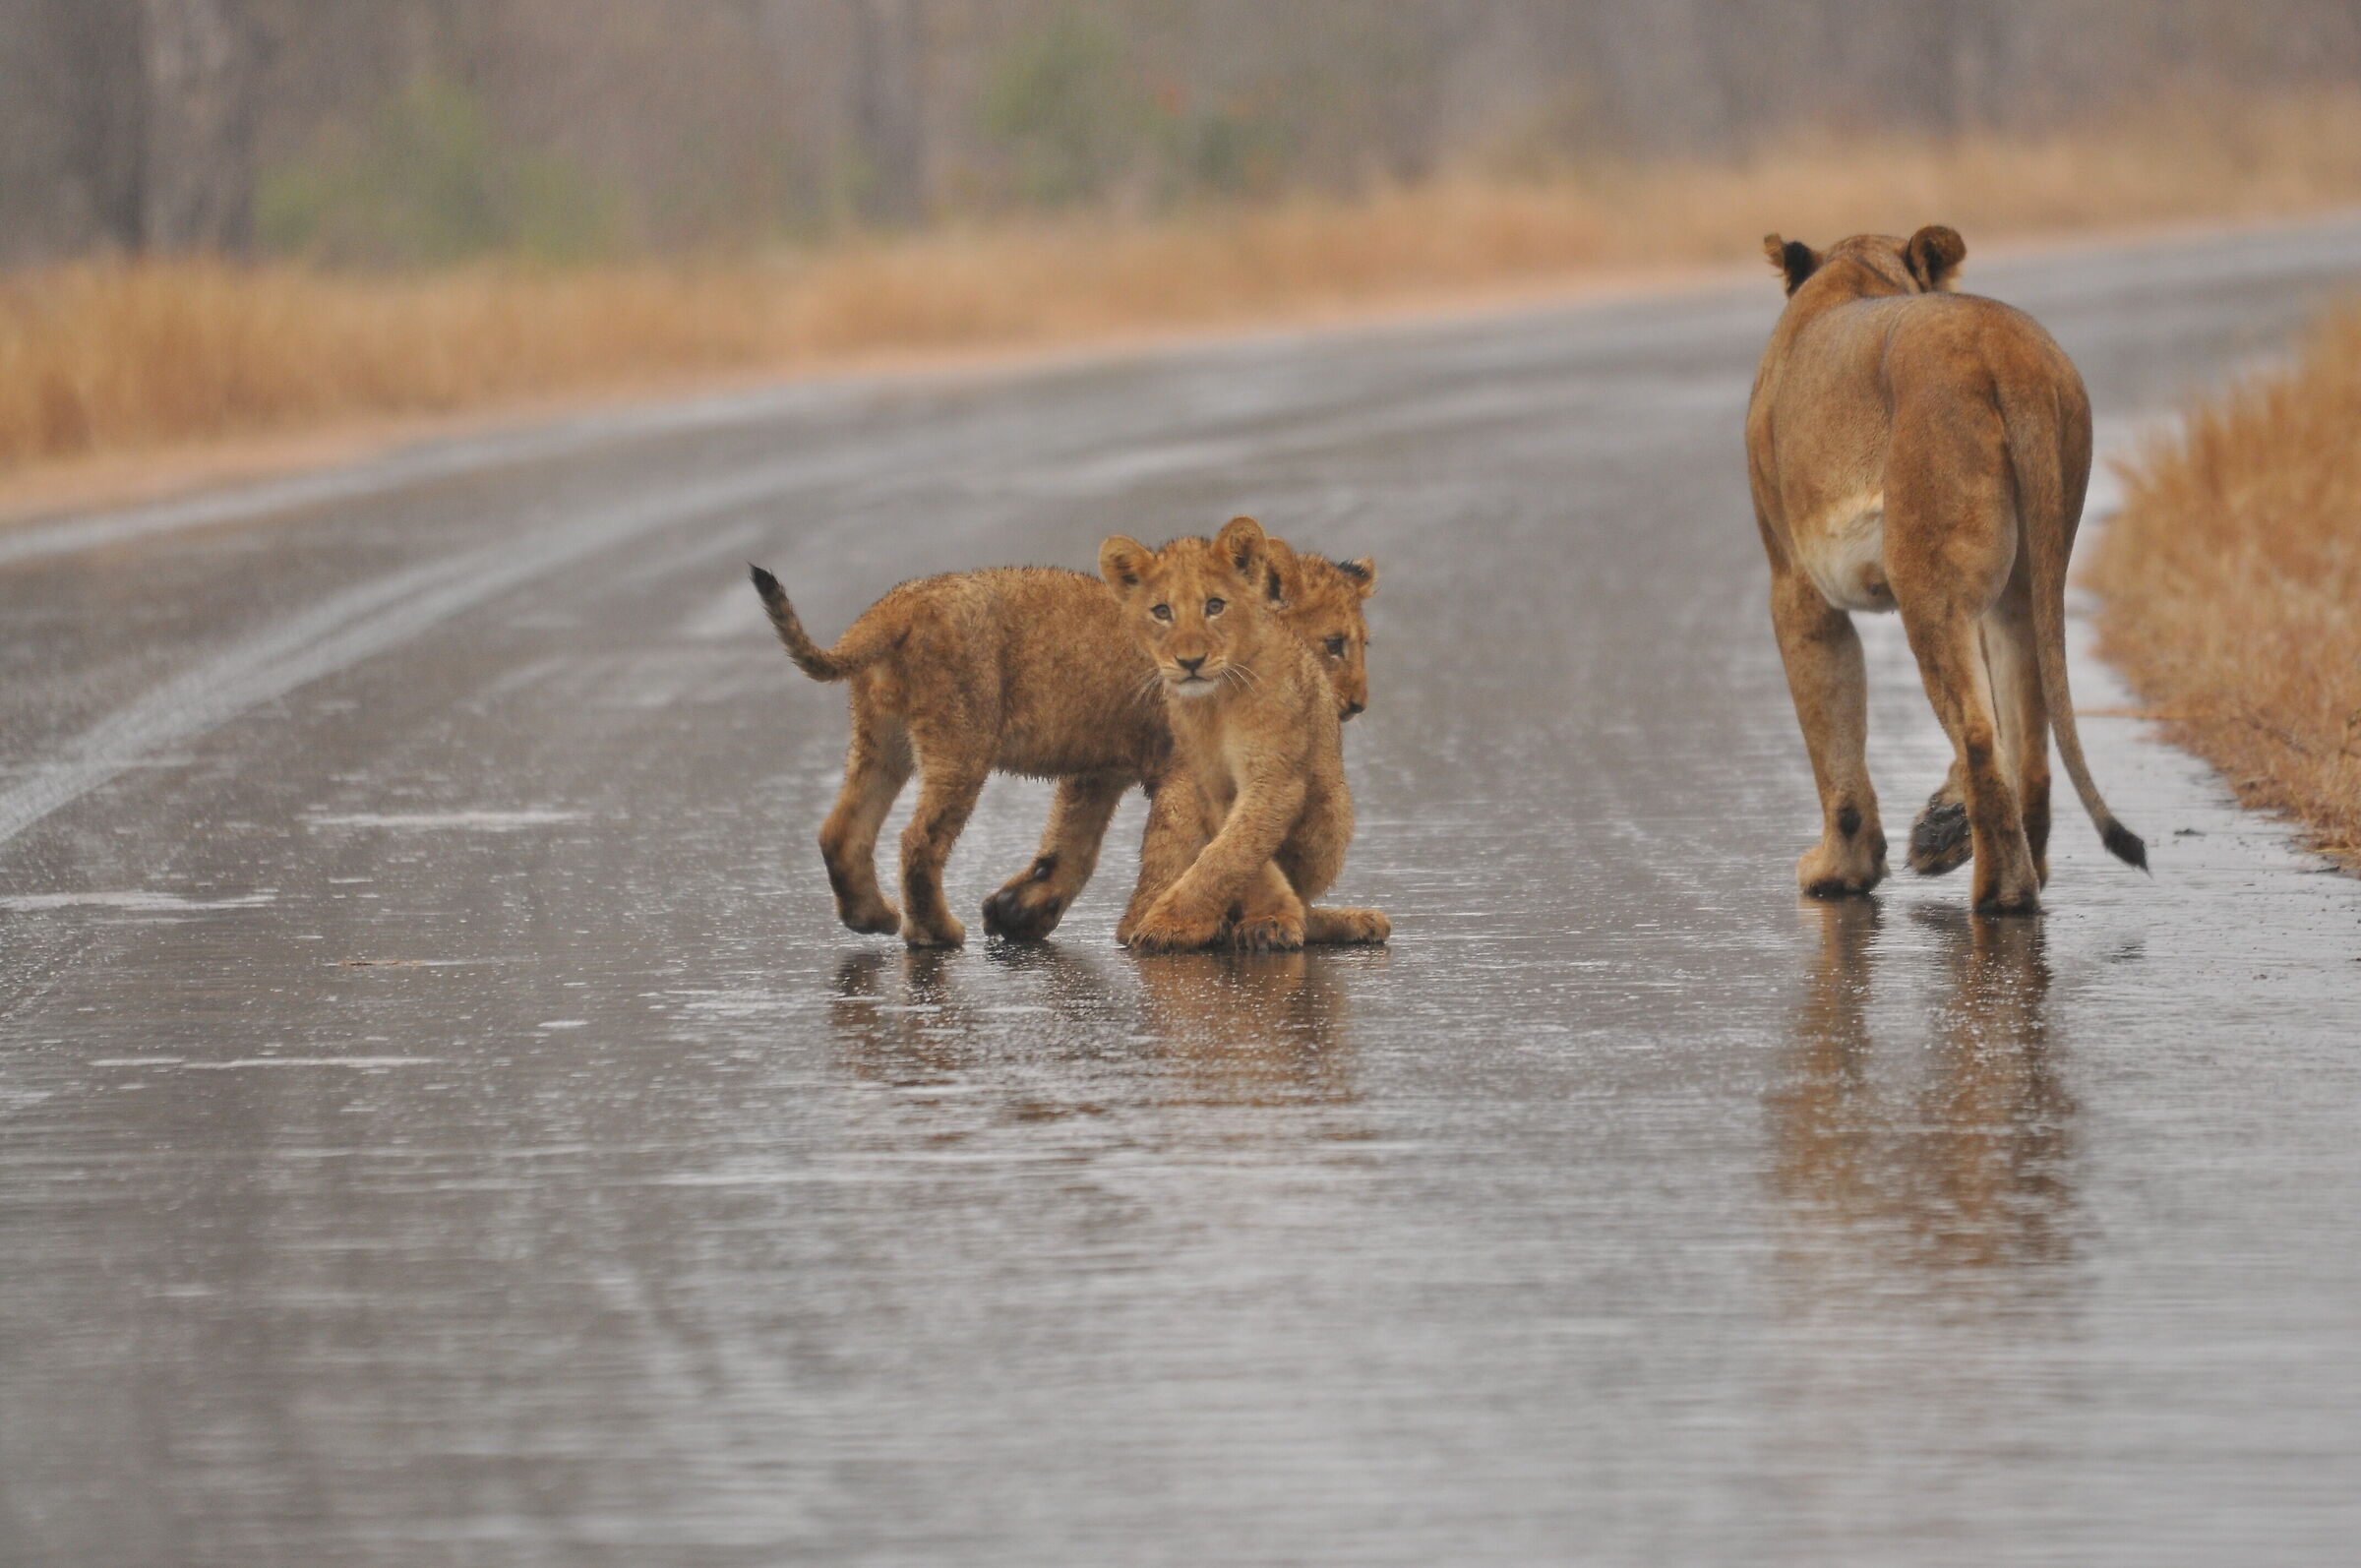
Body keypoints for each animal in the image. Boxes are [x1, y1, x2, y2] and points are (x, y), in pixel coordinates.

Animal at [749, 534, 1373, 949]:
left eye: (1364, 643)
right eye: (1335, 644)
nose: (1358, 705)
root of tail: (897, 604)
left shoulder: (1096, 771)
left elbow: (1070, 846)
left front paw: (1016, 911)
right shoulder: (1178, 768)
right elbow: (1176, 848)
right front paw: (1161, 926)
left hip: (883, 737)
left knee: (842, 826)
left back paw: (870, 914)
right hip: (961, 735)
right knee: (918, 839)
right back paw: (934, 932)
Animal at [1747, 225, 2145, 915]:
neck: (1854, 269)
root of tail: (2006, 349)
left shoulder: (1795, 585)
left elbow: (1832, 734)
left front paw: (1839, 870)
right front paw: (1940, 829)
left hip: (1926, 586)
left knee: (1980, 734)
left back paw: (1999, 893)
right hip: (2020, 584)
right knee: (2027, 742)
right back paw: (2016, 862)